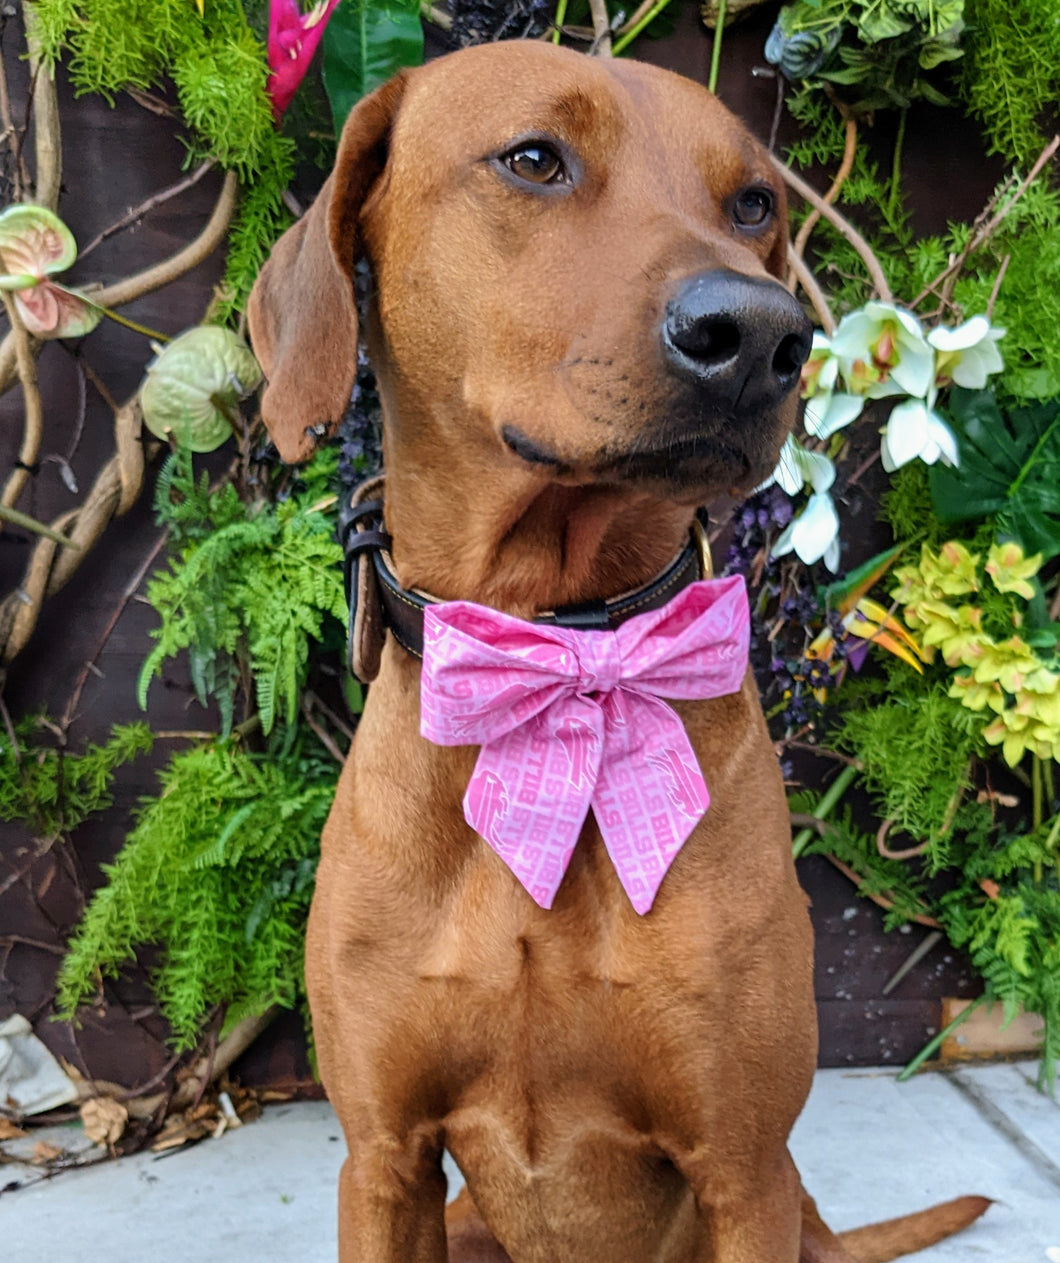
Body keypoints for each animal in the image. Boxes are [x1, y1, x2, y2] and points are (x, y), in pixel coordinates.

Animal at [246, 39, 985, 1263]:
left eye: (753, 204)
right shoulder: (384, 1162)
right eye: (534, 158)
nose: (762, 335)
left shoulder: (743, 1169)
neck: (560, 641)